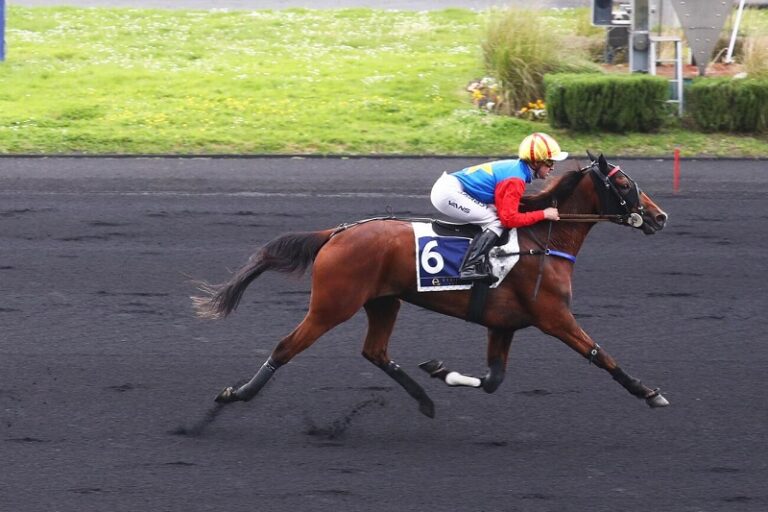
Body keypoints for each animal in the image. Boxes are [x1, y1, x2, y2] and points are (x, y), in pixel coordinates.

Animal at [192, 153, 670, 418]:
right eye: (624, 183)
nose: (660, 216)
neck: (542, 243)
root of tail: (336, 233)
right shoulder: (553, 316)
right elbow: (600, 355)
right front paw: (649, 392)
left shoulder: (504, 324)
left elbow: (493, 379)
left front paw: (440, 370)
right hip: (332, 305)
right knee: (286, 347)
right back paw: (236, 394)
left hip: (384, 301)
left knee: (376, 352)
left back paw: (424, 397)